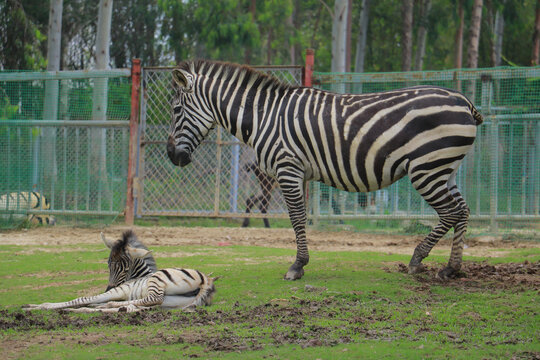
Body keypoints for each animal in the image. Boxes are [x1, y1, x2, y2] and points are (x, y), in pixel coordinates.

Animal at [24, 231, 216, 312]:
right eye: (108, 264)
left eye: (125, 267)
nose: (109, 288)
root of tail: (205, 280)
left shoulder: (120, 289)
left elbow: (81, 298)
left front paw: (37, 306)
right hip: (173, 302)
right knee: (141, 305)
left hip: (158, 281)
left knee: (153, 299)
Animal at [167, 60, 484, 282]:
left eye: (175, 110)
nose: (172, 156)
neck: (263, 118)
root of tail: (463, 100)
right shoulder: (295, 173)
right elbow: (300, 217)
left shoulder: (288, 168)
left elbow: (297, 218)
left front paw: (297, 266)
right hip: (444, 168)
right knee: (463, 209)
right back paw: (451, 268)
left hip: (426, 168)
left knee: (451, 211)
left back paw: (418, 259)